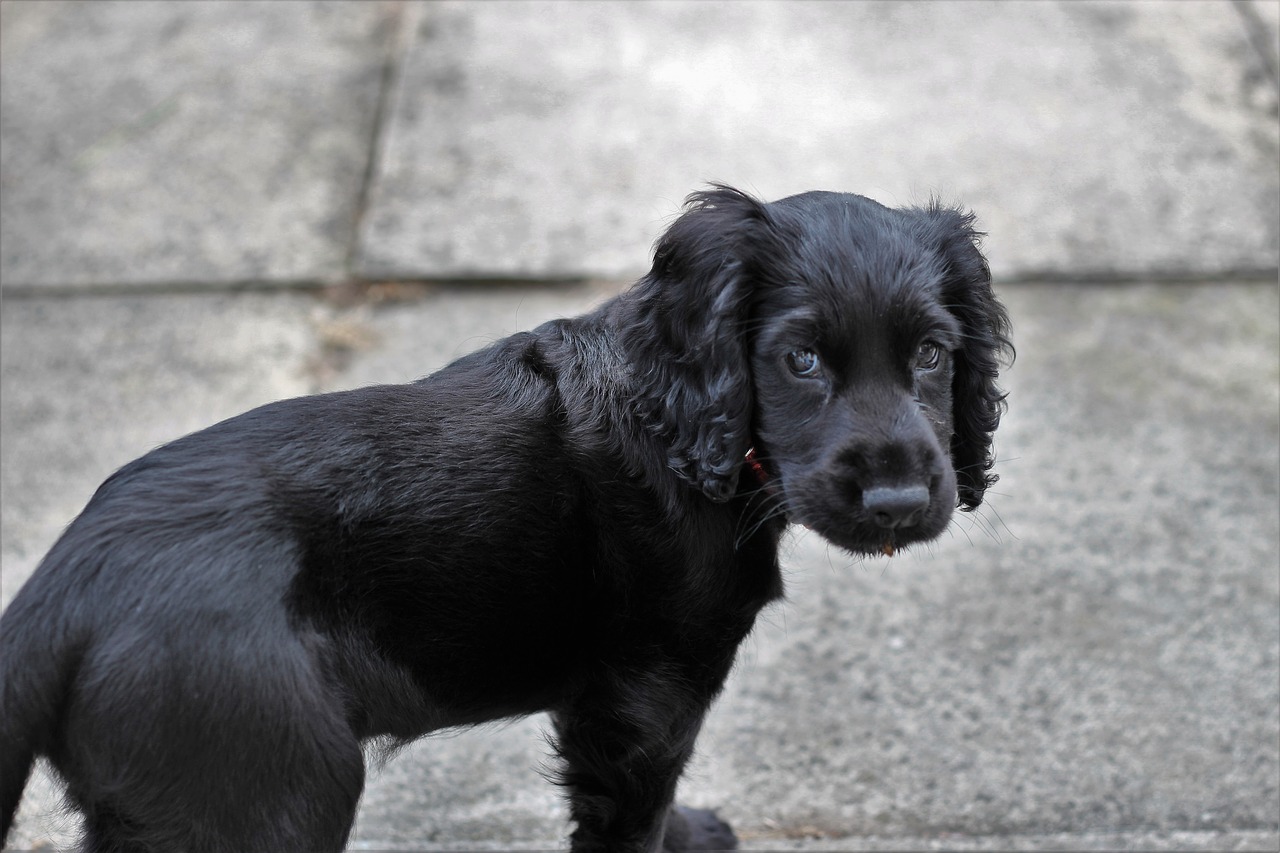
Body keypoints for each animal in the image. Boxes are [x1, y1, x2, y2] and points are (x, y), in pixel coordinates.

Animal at [0, 188, 1008, 850]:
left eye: (931, 353)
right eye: (800, 359)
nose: (899, 502)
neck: (676, 420)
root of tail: (62, 586)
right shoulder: (645, 693)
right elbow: (633, 812)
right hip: (275, 785)